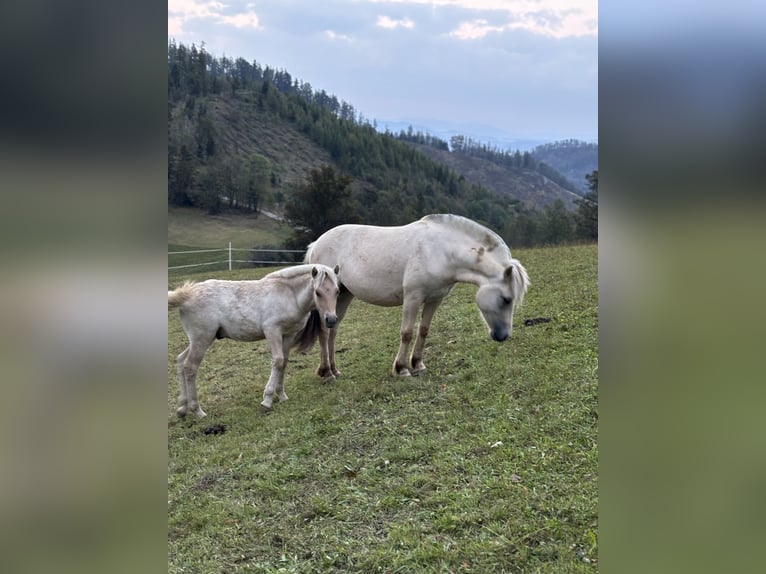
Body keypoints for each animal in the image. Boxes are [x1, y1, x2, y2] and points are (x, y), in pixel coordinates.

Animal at [170, 266, 340, 418]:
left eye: (337, 291)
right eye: (317, 292)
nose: (331, 320)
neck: (289, 294)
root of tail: (187, 294)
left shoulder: (288, 334)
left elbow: (284, 362)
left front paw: (282, 396)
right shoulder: (272, 330)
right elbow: (278, 361)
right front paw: (267, 400)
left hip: (201, 339)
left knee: (181, 360)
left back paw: (182, 408)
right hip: (202, 339)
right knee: (190, 367)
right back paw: (197, 411)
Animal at [304, 214, 528, 380]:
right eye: (506, 299)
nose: (502, 336)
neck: (440, 250)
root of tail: (316, 243)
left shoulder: (435, 299)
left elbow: (423, 330)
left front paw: (418, 364)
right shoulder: (412, 298)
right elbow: (407, 332)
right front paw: (402, 368)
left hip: (343, 295)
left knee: (332, 331)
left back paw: (334, 370)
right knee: (324, 331)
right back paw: (326, 373)